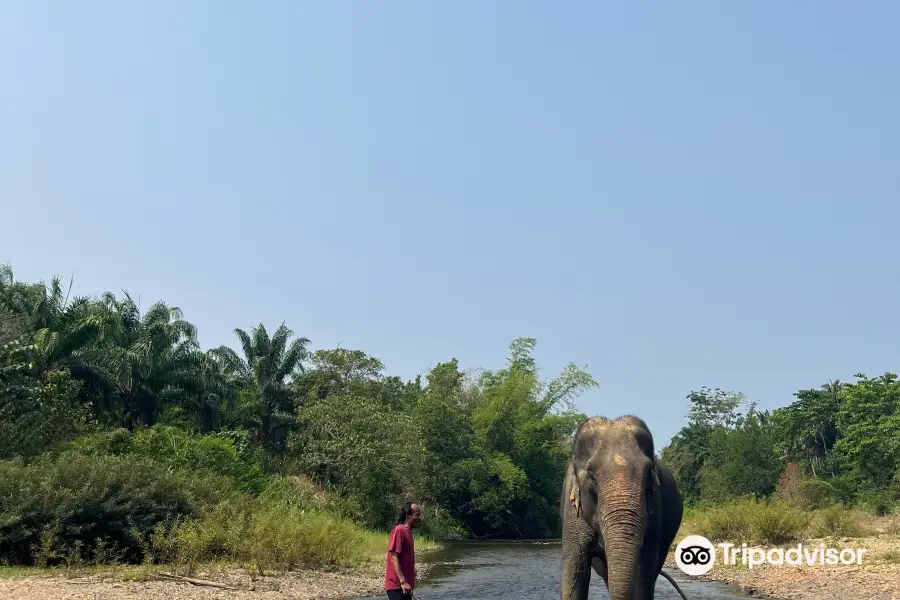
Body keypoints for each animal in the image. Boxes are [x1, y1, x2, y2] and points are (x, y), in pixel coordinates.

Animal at [556, 414, 684, 600]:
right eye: (591, 475)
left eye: (648, 472)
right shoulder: (572, 510)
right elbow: (573, 574)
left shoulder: (654, 510)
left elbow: (644, 577)